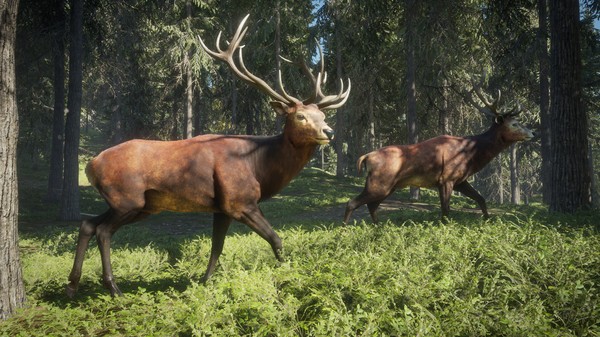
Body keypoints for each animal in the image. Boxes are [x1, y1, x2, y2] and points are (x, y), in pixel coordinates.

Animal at [65, 14, 350, 296]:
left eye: (322, 115)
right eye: (300, 116)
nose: (329, 131)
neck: (258, 166)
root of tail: (91, 164)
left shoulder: (222, 208)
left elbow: (216, 247)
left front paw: (204, 282)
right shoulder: (240, 201)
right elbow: (276, 238)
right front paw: (290, 276)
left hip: (138, 204)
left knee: (88, 224)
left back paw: (72, 285)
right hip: (127, 198)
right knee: (103, 231)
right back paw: (113, 288)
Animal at [342, 80, 536, 223]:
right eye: (514, 124)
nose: (533, 133)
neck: (471, 155)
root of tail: (366, 157)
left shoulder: (460, 180)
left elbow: (481, 198)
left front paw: (487, 220)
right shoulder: (446, 179)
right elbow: (445, 210)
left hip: (388, 186)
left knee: (371, 206)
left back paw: (379, 226)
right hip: (379, 183)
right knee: (352, 202)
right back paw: (345, 228)